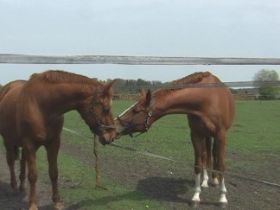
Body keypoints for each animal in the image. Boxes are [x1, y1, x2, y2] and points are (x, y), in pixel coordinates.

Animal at [0, 70, 116, 210]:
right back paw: (13, 185)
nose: (111, 135)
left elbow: (54, 172)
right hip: (8, 141)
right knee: (11, 161)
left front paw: (57, 202)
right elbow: (33, 175)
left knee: (23, 162)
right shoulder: (30, 144)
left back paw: (22, 187)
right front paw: (33, 204)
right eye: (106, 108)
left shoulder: (54, 143)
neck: (41, 105)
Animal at [115, 72, 235, 205]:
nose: (115, 124)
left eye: (136, 110)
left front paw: (222, 197)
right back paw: (206, 180)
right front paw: (196, 195)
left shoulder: (221, 135)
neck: (207, 99)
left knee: (213, 154)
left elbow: (221, 165)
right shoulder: (196, 135)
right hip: (206, 135)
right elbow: (198, 164)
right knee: (206, 155)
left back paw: (215, 180)